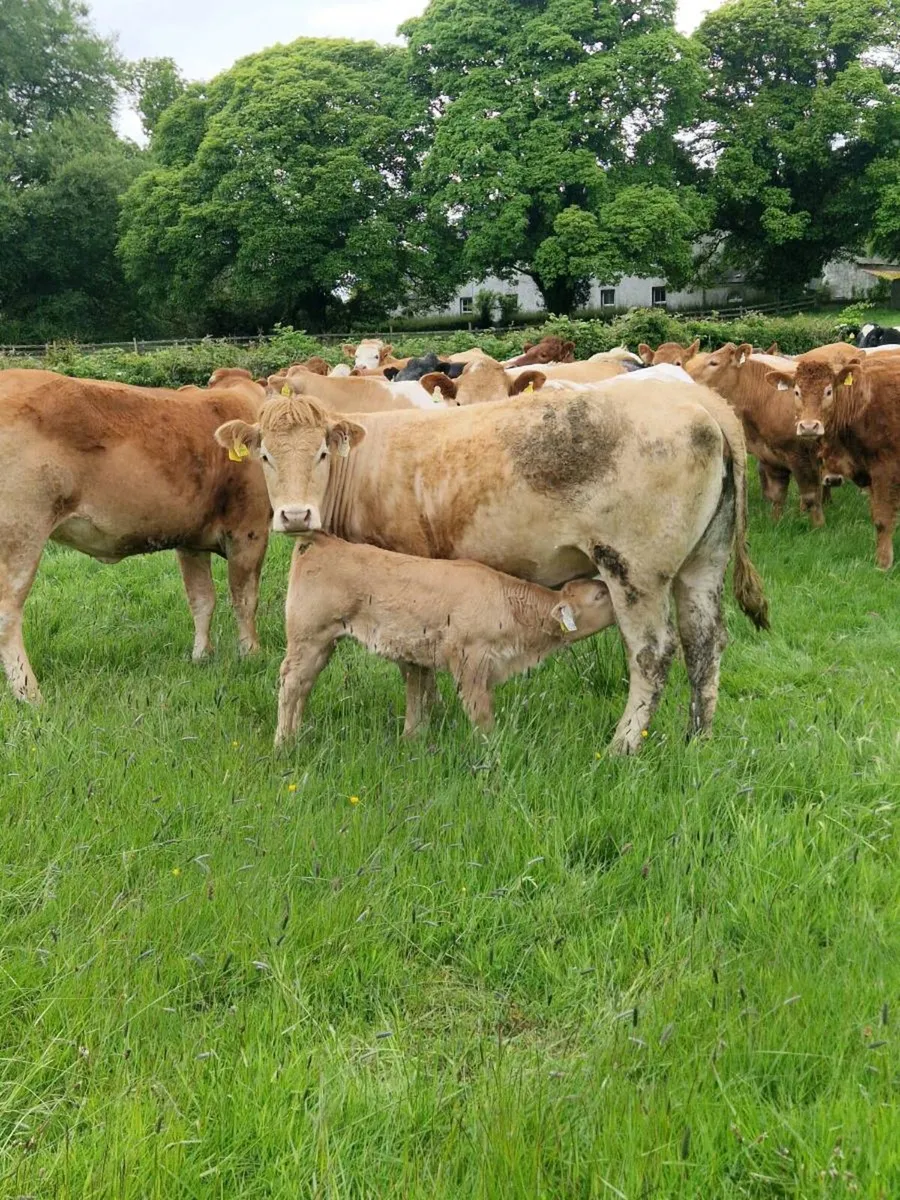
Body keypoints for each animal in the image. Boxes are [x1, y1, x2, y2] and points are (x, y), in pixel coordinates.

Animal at [0, 369, 273, 703]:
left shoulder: (191, 540)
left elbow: (202, 599)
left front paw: (201, 656)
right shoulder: (250, 530)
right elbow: (245, 599)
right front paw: (252, 654)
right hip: (22, 532)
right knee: (7, 614)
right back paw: (30, 694)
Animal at [275, 535, 614, 745]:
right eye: (599, 595)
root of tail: (322, 541)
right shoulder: (470, 661)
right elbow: (481, 712)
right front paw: (491, 746)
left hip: (322, 642)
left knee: (304, 685)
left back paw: (296, 736)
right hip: (308, 636)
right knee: (291, 684)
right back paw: (283, 744)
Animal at [685, 344, 827, 527]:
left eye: (713, 363)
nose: (686, 376)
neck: (767, 399)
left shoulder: (800, 456)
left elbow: (811, 495)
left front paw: (819, 526)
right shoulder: (771, 456)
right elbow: (777, 495)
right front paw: (776, 522)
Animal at [764, 354, 900, 569]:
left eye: (828, 391)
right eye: (797, 391)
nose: (809, 427)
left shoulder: (886, 470)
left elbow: (883, 519)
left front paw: (883, 564)